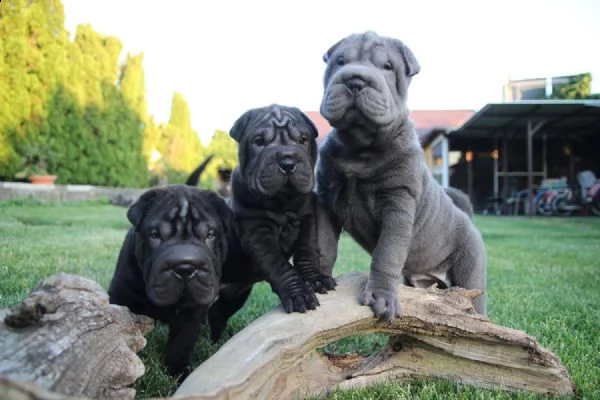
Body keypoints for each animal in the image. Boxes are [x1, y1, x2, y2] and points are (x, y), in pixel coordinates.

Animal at [109, 184, 254, 378]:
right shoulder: (122, 295)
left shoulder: (190, 313)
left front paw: (178, 374)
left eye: (210, 234)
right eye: (155, 235)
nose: (185, 267)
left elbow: (180, 345)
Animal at [229, 104, 336, 314]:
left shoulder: (308, 219)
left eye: (303, 139)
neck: (282, 201)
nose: (288, 162)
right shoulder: (257, 234)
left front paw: (316, 278)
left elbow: (306, 251)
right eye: (259, 141)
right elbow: (280, 266)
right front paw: (299, 295)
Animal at [314, 32, 488, 324]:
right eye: (340, 61)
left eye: (387, 67)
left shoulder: (398, 202)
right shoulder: (326, 200)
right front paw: (317, 279)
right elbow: (322, 244)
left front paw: (381, 296)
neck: (359, 148)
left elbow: (387, 253)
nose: (355, 80)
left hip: (470, 269)